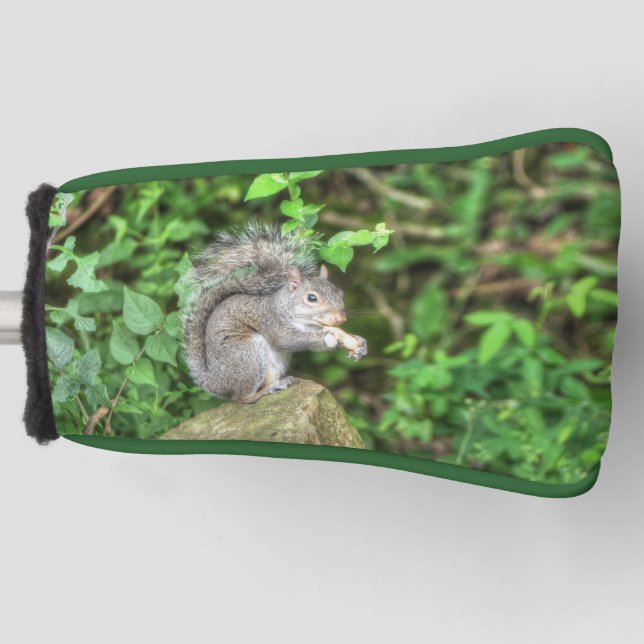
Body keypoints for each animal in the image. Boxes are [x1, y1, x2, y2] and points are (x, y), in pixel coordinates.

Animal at [183, 222, 367, 403]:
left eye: (340, 293)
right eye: (312, 298)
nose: (341, 319)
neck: (307, 323)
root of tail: (215, 382)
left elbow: (318, 347)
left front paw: (358, 343)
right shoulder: (271, 321)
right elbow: (285, 340)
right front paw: (327, 334)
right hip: (247, 354)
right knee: (242, 398)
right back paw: (265, 391)